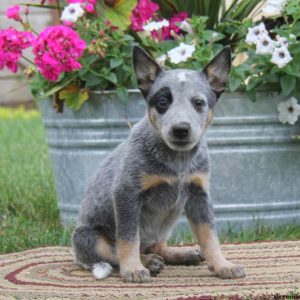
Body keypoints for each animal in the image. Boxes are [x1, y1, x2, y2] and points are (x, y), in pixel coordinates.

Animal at [72, 45, 246, 282]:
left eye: (198, 103)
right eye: (163, 102)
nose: (180, 129)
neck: (178, 162)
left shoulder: (199, 194)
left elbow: (209, 236)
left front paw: (222, 265)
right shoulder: (126, 194)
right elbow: (128, 238)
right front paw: (133, 269)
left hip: (165, 224)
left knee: (158, 246)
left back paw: (182, 254)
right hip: (86, 236)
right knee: (115, 252)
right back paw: (148, 262)